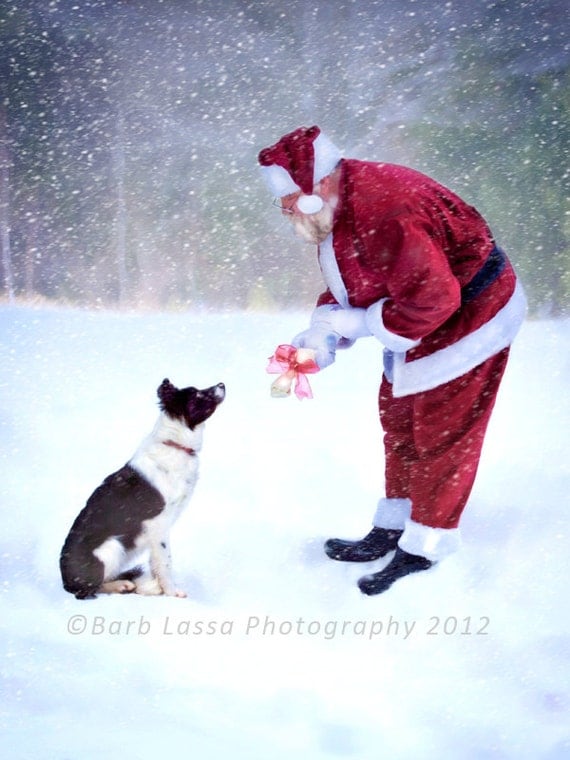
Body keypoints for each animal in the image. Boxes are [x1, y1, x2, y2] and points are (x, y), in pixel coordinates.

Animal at [60, 378, 224, 600]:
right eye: (197, 394)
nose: (222, 384)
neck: (174, 444)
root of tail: (65, 582)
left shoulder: (157, 533)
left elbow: (155, 563)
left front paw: (159, 589)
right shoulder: (158, 526)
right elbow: (165, 563)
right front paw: (172, 593)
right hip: (112, 547)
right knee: (90, 590)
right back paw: (122, 586)